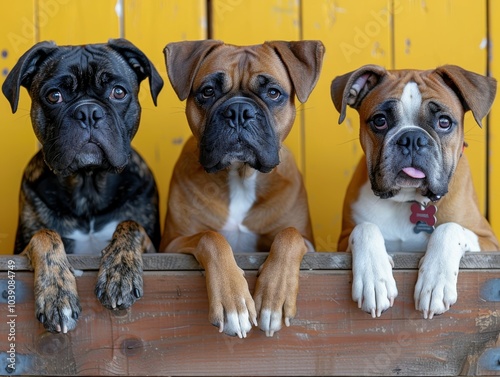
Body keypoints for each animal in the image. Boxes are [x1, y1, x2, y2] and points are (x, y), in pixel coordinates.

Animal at [3, 38, 164, 332]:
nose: (88, 111)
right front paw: (57, 294)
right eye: (53, 96)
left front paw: (119, 273)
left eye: (118, 92)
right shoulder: (21, 248)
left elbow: (131, 226)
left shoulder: (154, 244)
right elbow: (45, 236)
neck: (88, 184)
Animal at [161, 40, 324, 338]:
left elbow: (288, 236)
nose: (238, 111)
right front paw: (232, 303)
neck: (240, 175)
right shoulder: (172, 244)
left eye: (273, 93)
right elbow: (210, 238)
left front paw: (273, 298)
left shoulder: (308, 242)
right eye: (208, 91)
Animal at [330, 64, 498, 318]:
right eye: (380, 121)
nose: (411, 138)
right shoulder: (340, 242)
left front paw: (435, 282)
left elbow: (450, 229)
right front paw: (374, 279)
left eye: (444, 122)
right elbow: (365, 229)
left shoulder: (489, 242)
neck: (408, 199)